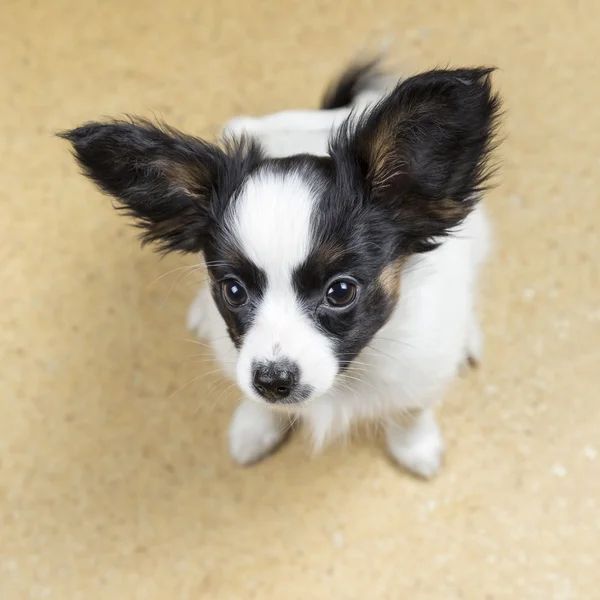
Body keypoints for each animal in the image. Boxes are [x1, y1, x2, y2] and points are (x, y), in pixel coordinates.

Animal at [61, 57, 502, 478]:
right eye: (233, 291)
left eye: (341, 291)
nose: (272, 382)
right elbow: (260, 403)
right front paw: (255, 429)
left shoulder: (420, 369)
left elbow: (410, 411)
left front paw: (415, 448)